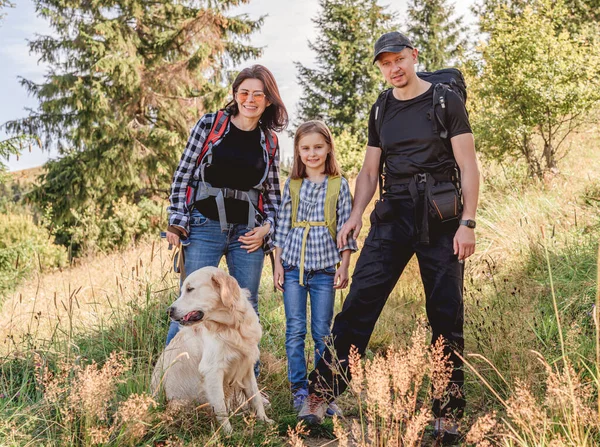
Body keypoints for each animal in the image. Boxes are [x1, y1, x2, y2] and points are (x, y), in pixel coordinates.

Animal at [150, 266, 272, 434]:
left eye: (190, 289)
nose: (169, 311)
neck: (231, 327)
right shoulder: (212, 371)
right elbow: (221, 407)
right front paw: (228, 434)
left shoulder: (246, 366)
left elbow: (255, 397)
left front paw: (265, 420)